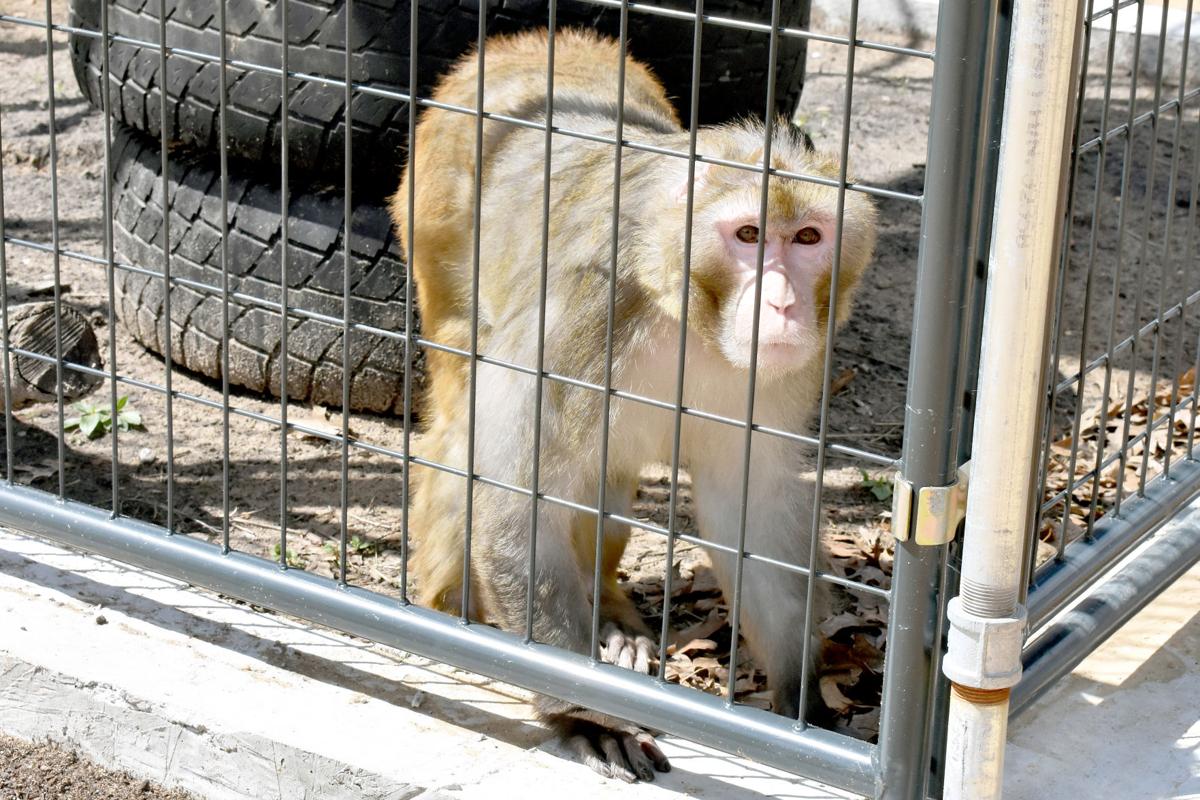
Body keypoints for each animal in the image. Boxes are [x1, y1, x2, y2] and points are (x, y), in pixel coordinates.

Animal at [390, 29, 876, 782]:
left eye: (807, 239)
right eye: (747, 236)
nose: (782, 304)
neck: (683, 308)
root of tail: (524, 45)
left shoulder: (786, 372)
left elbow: (751, 508)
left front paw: (804, 707)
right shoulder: (587, 310)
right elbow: (511, 497)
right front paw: (586, 717)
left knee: (604, 473)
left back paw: (612, 618)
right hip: (435, 226)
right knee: (464, 423)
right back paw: (451, 612)